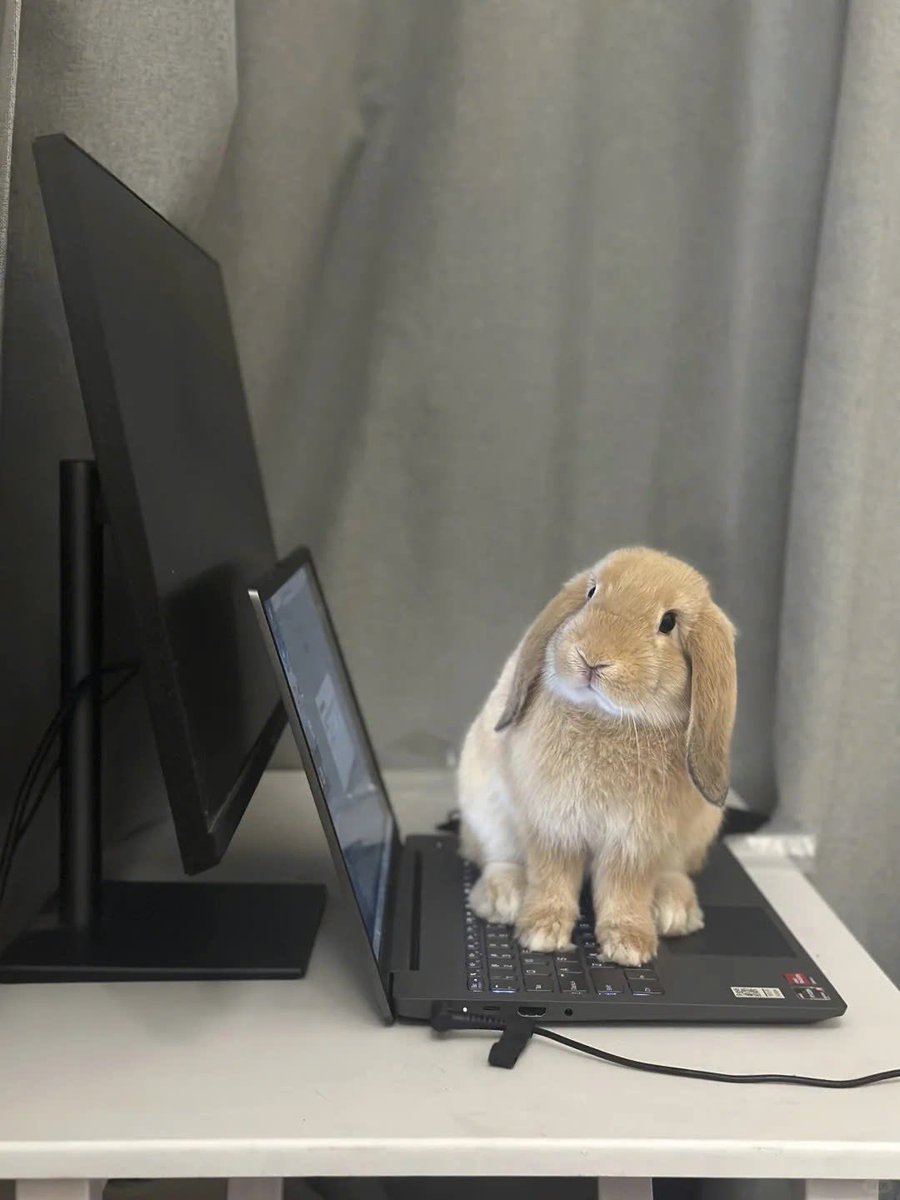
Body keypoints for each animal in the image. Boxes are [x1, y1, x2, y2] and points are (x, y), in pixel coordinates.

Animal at [457, 546, 737, 967]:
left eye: (668, 622)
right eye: (591, 593)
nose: (592, 659)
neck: (607, 718)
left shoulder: (634, 842)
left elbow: (625, 890)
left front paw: (629, 947)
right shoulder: (554, 826)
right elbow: (552, 876)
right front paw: (541, 933)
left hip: (693, 836)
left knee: (674, 872)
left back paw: (674, 910)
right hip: (484, 809)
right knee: (494, 854)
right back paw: (503, 897)